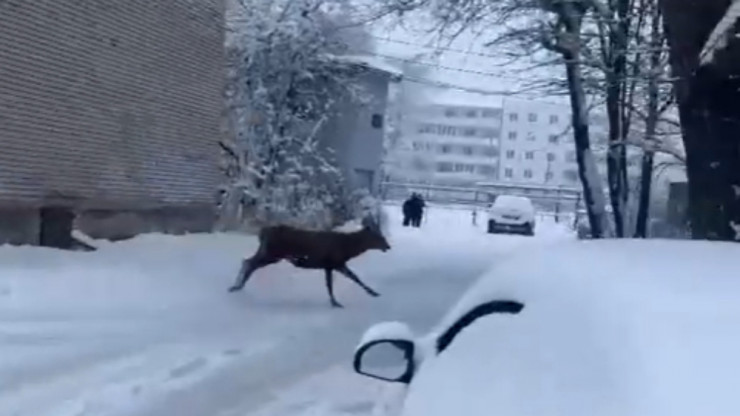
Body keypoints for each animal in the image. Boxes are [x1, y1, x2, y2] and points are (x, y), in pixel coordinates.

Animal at [230, 216, 394, 308]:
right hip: (273, 253)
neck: (347, 248)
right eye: (379, 237)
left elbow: (353, 278)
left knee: (247, 260)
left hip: (268, 252)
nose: (388, 246)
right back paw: (236, 287)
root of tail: (263, 232)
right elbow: (332, 284)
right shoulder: (332, 262)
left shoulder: (335, 264)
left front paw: (373, 293)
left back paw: (236, 286)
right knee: (250, 263)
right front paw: (335, 303)